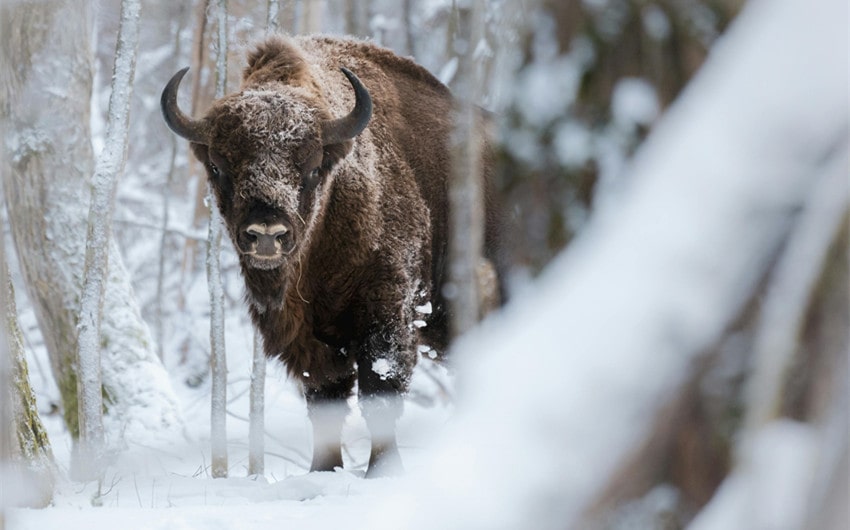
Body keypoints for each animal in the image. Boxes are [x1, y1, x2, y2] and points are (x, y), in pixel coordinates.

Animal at [162, 36, 500, 474]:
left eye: (311, 168)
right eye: (219, 167)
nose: (267, 234)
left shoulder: (388, 315)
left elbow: (380, 395)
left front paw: (382, 473)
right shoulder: (311, 341)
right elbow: (325, 400)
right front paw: (323, 471)